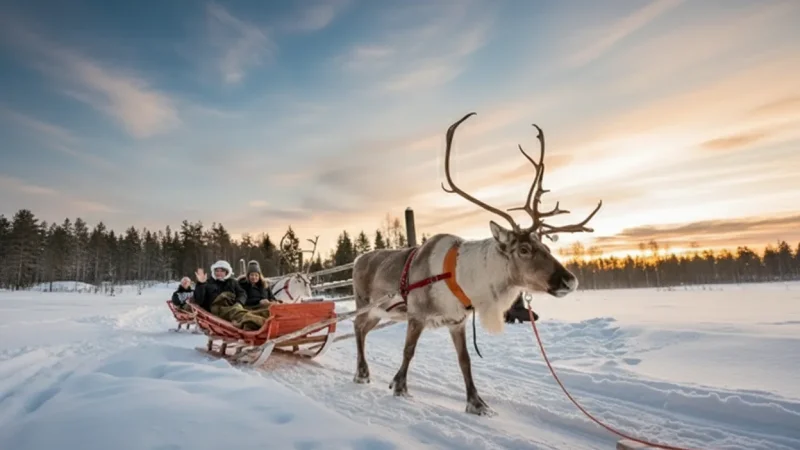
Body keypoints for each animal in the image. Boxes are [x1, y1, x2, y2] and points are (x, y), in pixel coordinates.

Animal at [350, 111, 602, 416]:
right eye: (524, 249)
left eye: (547, 246)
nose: (570, 280)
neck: (462, 278)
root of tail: (358, 259)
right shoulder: (417, 315)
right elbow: (408, 351)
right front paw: (399, 386)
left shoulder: (457, 322)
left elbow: (465, 360)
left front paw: (476, 403)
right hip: (366, 303)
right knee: (356, 326)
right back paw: (361, 373)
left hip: (381, 312)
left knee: (362, 329)